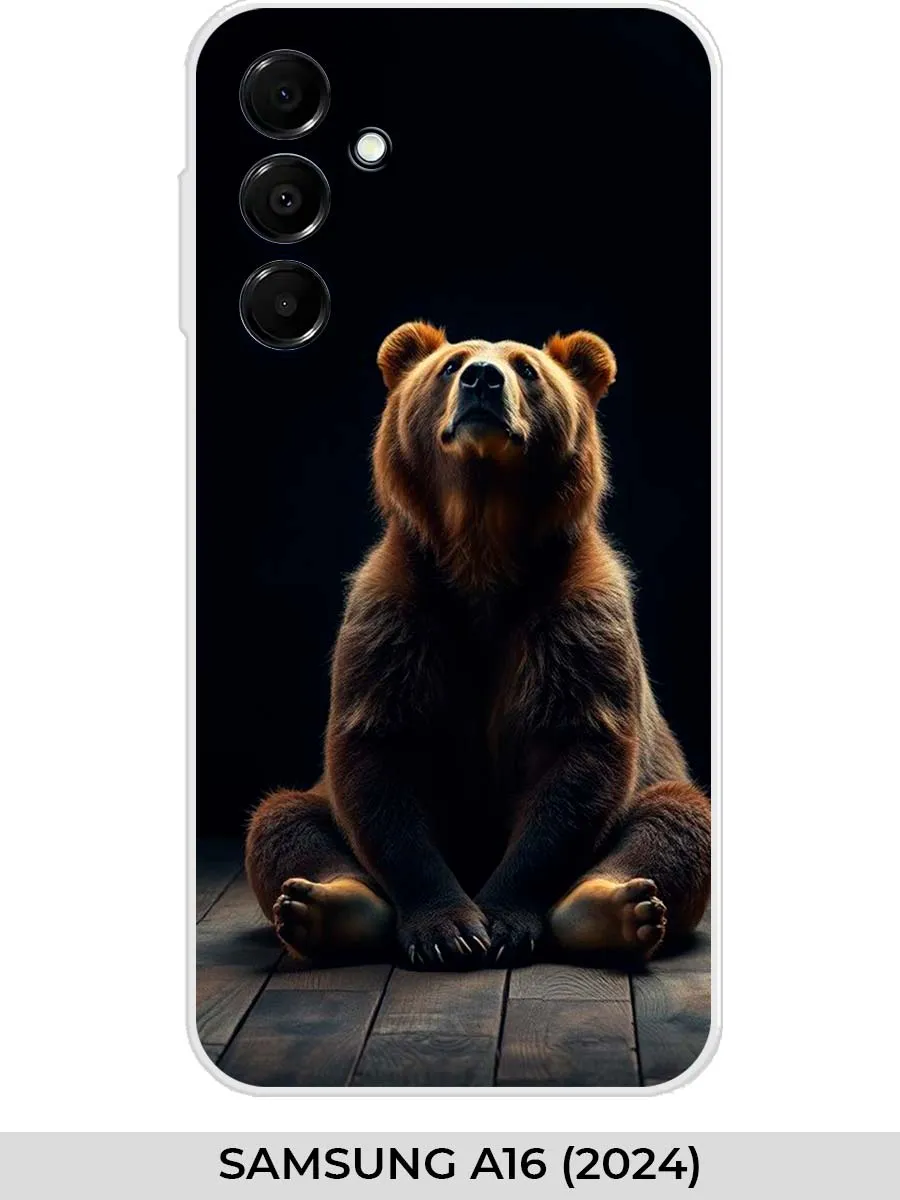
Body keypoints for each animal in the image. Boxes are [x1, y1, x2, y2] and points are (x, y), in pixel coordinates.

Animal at [244, 322, 711, 968]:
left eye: (527, 368)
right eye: (452, 364)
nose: (483, 379)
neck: (482, 546)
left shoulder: (576, 617)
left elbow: (579, 756)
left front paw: (504, 920)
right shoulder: (395, 614)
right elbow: (377, 755)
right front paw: (449, 928)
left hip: (656, 781)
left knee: (679, 817)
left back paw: (613, 908)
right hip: (320, 800)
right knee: (281, 817)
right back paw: (328, 906)